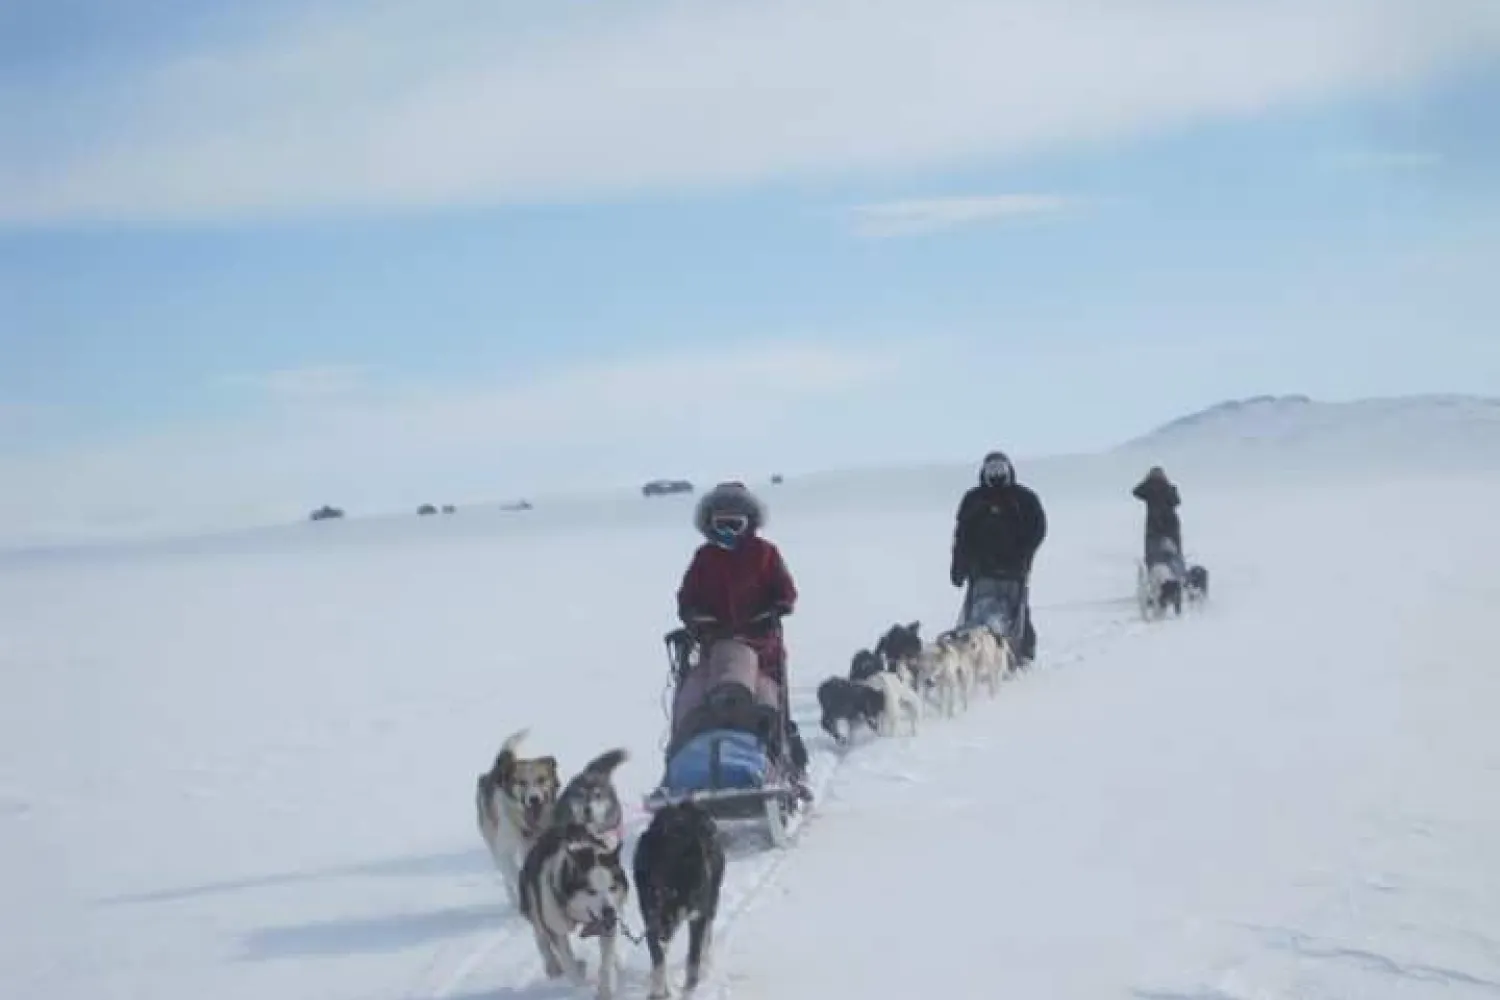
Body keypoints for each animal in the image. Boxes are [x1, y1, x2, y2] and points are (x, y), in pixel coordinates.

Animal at [474, 728, 558, 905]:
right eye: (521, 782)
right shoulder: (504, 851)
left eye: (541, 779)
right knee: (506, 877)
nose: (534, 799)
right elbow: (513, 873)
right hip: (494, 846)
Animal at [519, 827, 630, 995]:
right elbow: (569, 963)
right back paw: (553, 965)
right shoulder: (556, 929)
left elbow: (606, 960)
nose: (609, 911)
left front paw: (606, 988)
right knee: (541, 938)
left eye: (612, 887)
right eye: (591, 891)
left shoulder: (608, 925)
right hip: (534, 908)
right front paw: (581, 987)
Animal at [633, 803, 726, 995]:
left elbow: (693, 956)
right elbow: (658, 959)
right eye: (654, 897)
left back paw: (705, 966)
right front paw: (659, 991)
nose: (660, 934)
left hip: (712, 904)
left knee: (706, 937)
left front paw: (690, 988)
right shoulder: (649, 916)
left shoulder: (697, 916)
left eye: (675, 899)